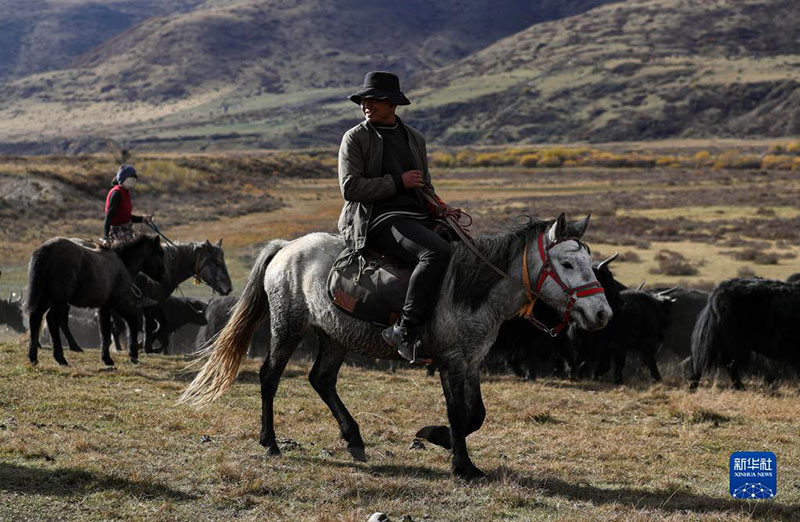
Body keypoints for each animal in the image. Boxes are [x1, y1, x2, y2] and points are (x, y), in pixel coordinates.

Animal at [27, 234, 165, 364]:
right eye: (160, 254)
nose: (163, 275)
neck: (121, 263)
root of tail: (47, 248)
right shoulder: (118, 302)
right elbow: (129, 322)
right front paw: (131, 354)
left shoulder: (105, 306)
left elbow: (104, 330)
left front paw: (106, 358)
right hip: (59, 299)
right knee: (52, 319)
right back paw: (60, 358)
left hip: (47, 298)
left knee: (36, 317)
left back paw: (33, 356)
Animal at [180, 213, 608, 478]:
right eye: (567, 264)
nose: (602, 313)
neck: (473, 289)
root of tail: (286, 248)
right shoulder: (451, 361)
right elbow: (459, 415)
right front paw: (461, 465)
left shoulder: (471, 362)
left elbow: (476, 416)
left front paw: (436, 438)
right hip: (288, 326)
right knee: (270, 377)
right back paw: (270, 443)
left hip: (335, 335)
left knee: (322, 380)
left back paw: (354, 439)